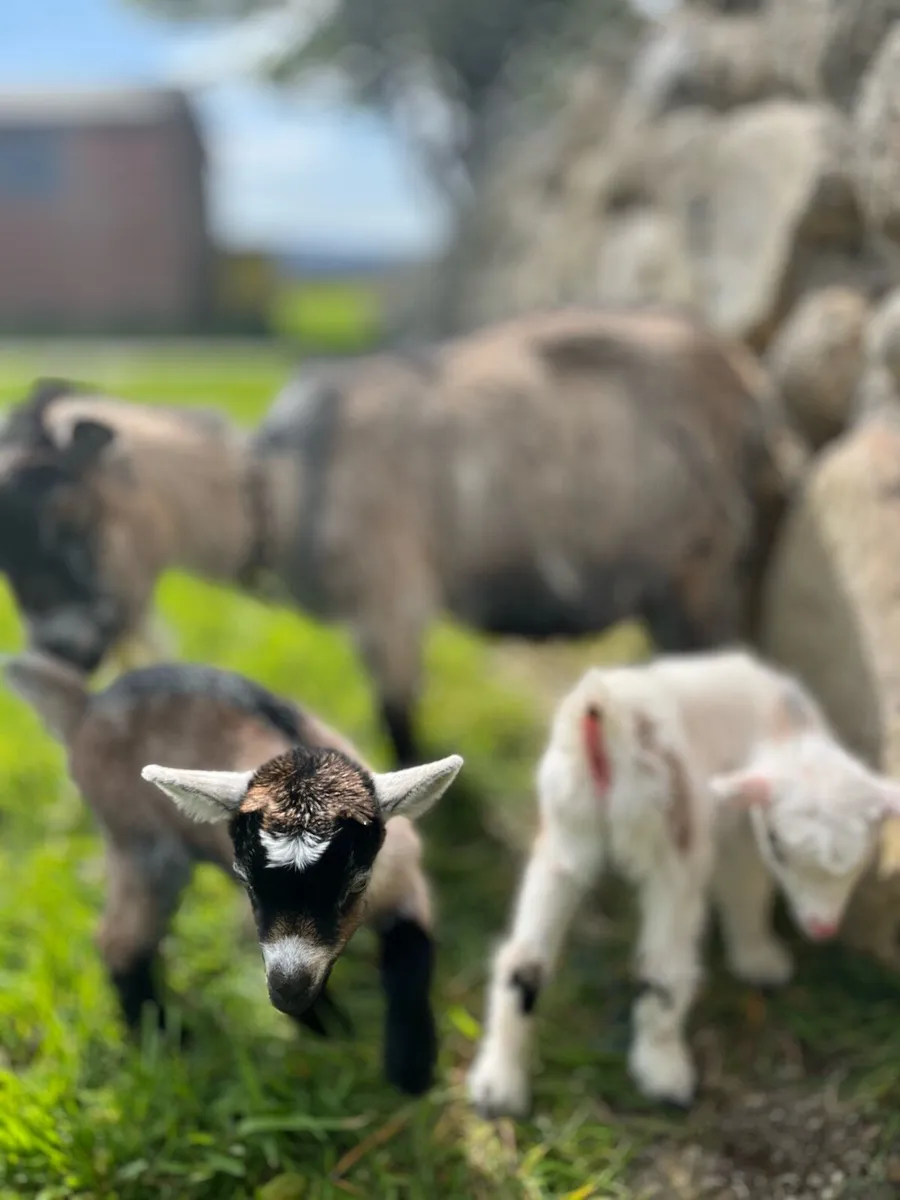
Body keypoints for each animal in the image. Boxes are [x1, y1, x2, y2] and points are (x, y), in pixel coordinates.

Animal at [0, 309, 799, 765]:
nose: (56, 652)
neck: (279, 489)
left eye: (69, 516)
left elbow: (399, 718)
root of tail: (753, 388)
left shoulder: (392, 597)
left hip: (703, 565)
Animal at [3, 652, 462, 1095]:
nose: (287, 996)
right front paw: (331, 1029)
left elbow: (411, 959)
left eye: (353, 887)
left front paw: (411, 1068)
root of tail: (87, 706)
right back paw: (166, 1036)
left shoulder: (402, 876)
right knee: (120, 936)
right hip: (137, 838)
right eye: (249, 886)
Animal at [467, 649, 900, 1117]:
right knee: (664, 966)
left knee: (522, 958)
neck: (787, 727)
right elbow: (746, 890)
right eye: (777, 846)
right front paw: (759, 960)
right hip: (672, 844)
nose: (822, 928)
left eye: (862, 859)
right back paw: (664, 1073)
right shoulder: (738, 836)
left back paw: (498, 1084)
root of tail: (610, 713)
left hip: (566, 830)